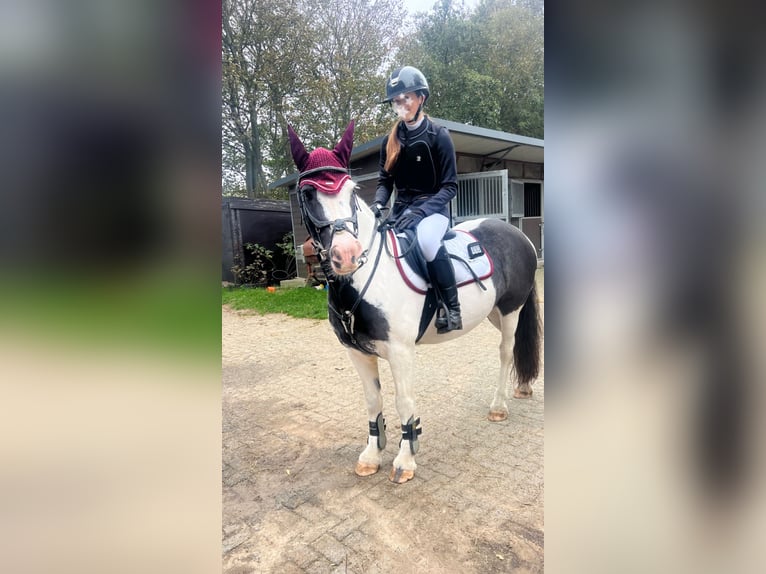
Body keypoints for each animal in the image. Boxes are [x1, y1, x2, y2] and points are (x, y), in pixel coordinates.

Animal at [288, 120, 541, 484]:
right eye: (308, 194)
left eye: (352, 191)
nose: (347, 255)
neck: (370, 277)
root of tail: (518, 235)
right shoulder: (356, 354)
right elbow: (372, 401)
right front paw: (371, 455)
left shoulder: (401, 352)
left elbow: (403, 402)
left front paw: (405, 460)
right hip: (494, 312)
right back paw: (522, 389)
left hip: (510, 310)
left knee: (506, 352)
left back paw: (499, 406)